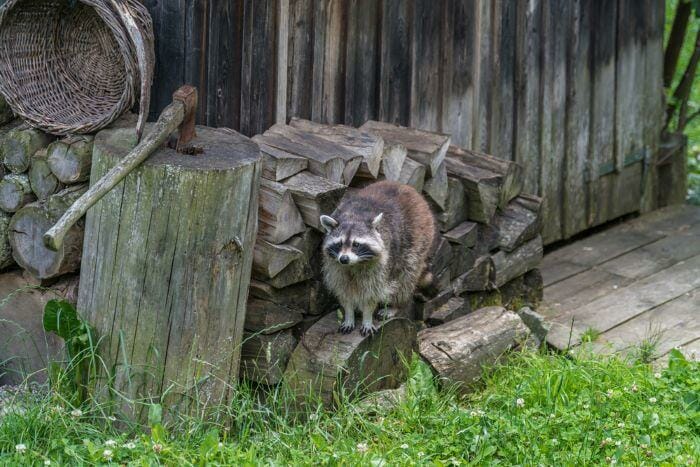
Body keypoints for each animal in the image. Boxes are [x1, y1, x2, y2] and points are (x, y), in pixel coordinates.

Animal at [319, 181, 436, 336]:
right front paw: (349, 314)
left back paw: (396, 305)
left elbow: (373, 291)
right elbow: (343, 289)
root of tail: (408, 188)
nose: (344, 259)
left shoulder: (381, 263)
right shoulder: (335, 265)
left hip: (420, 236)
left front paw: (367, 317)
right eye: (339, 244)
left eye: (356, 244)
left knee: (406, 276)